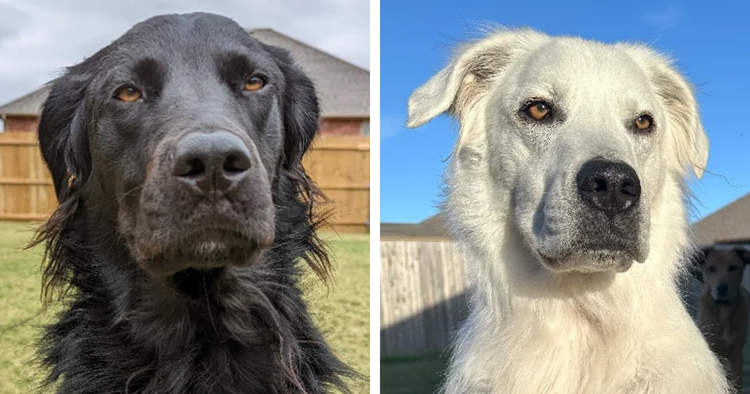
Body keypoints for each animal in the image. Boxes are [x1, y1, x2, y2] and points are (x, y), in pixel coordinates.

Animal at [700, 248, 750, 390]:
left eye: (733, 268)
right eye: (711, 268)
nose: (722, 287)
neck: (724, 310)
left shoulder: (736, 352)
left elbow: (737, 381)